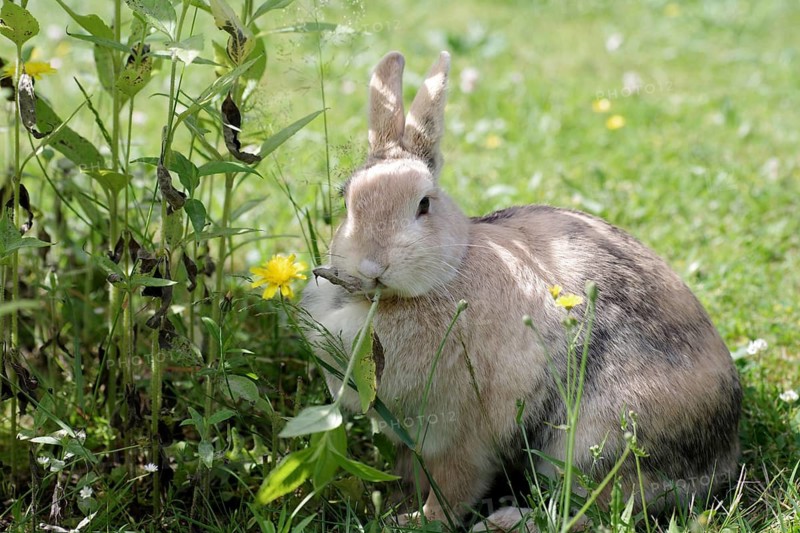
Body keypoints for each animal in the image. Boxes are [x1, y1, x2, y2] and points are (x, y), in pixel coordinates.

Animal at [300, 51, 741, 531]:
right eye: (346, 201)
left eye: (423, 204)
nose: (372, 266)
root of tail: (722, 458)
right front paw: (399, 504)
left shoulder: (462, 434)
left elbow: (452, 489)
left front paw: (415, 520)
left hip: (595, 441)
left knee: (597, 509)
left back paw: (506, 521)